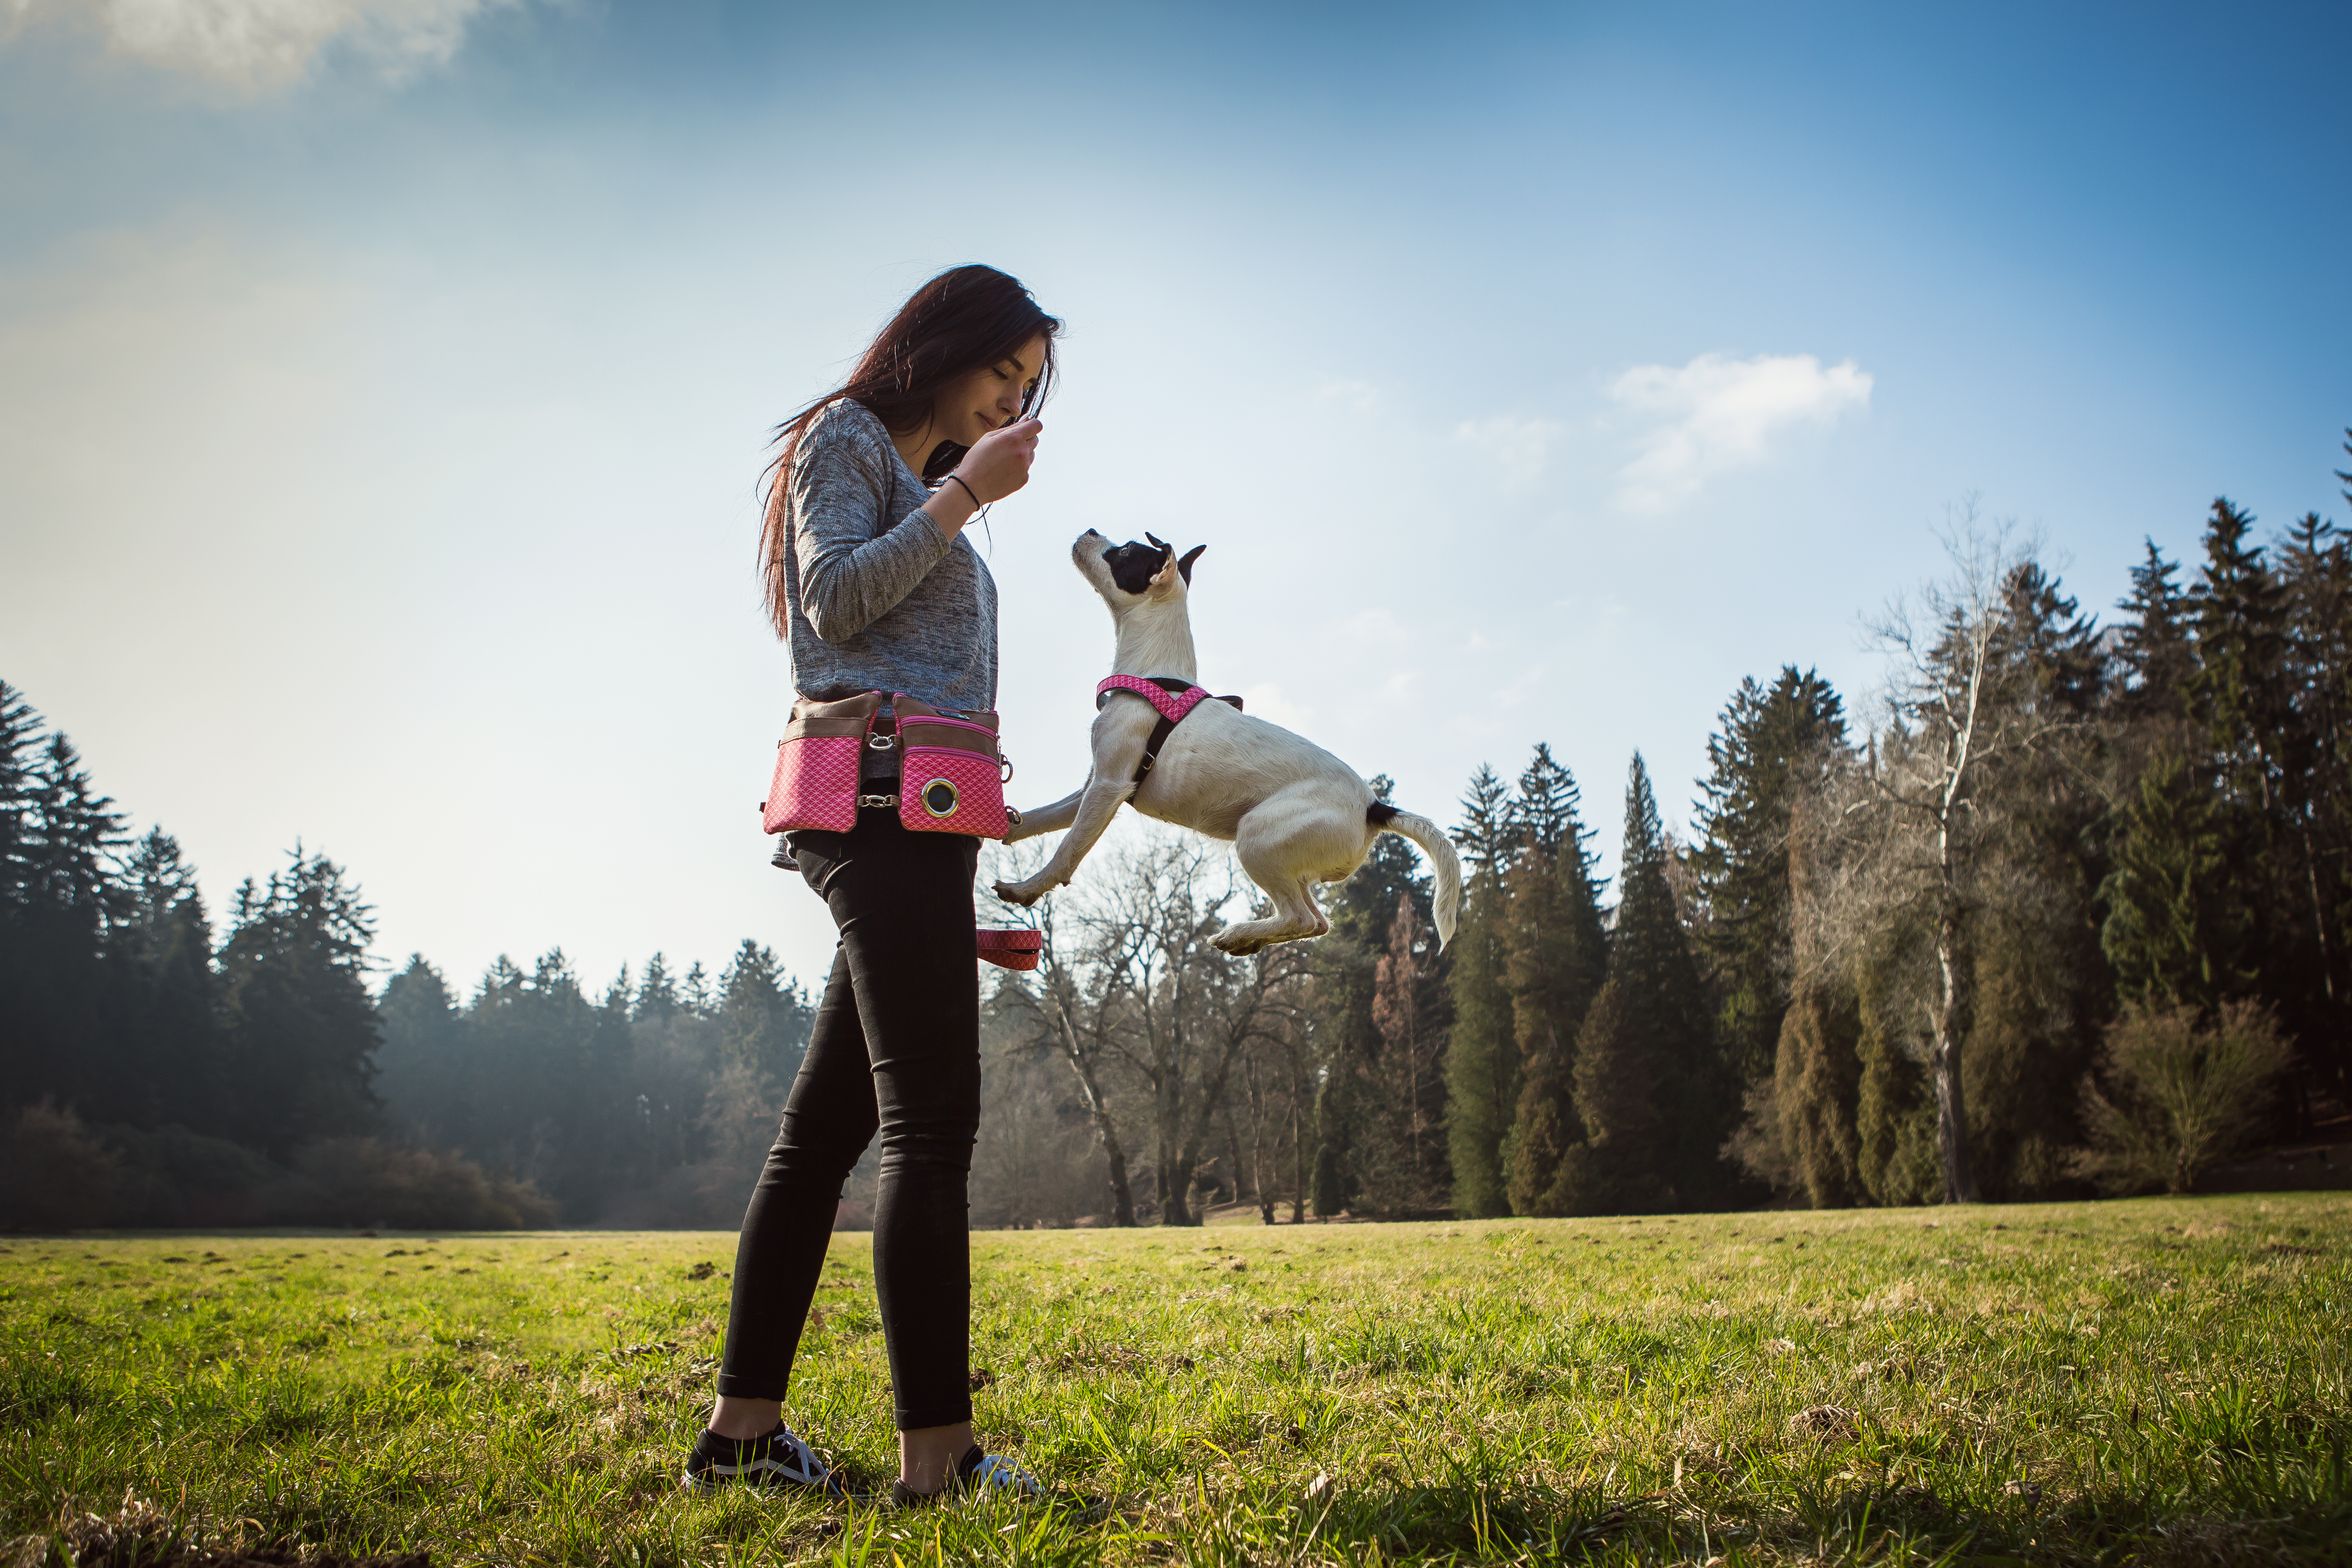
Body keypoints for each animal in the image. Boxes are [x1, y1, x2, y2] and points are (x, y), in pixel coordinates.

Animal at [988, 531, 1458, 959]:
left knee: (1302, 918)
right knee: (1315, 921)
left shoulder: (1108, 788)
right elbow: (1039, 819)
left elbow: (1067, 850)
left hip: (1256, 837)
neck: (1156, 674)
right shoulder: (1091, 787)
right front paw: (1003, 826)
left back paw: (1238, 934)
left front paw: (1027, 888)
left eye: (1124, 551)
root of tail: (1374, 806)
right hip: (1286, 859)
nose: (1088, 531)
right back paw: (1249, 937)